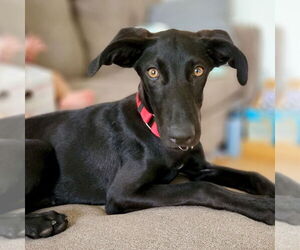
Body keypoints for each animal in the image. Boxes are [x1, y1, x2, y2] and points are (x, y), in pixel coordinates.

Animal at [25, 27, 274, 238]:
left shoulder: (199, 167)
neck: (152, 129)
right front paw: (261, 205)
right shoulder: (121, 192)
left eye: (198, 71)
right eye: (152, 72)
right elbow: (202, 188)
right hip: (38, 146)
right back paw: (43, 223)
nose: (182, 137)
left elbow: (252, 175)